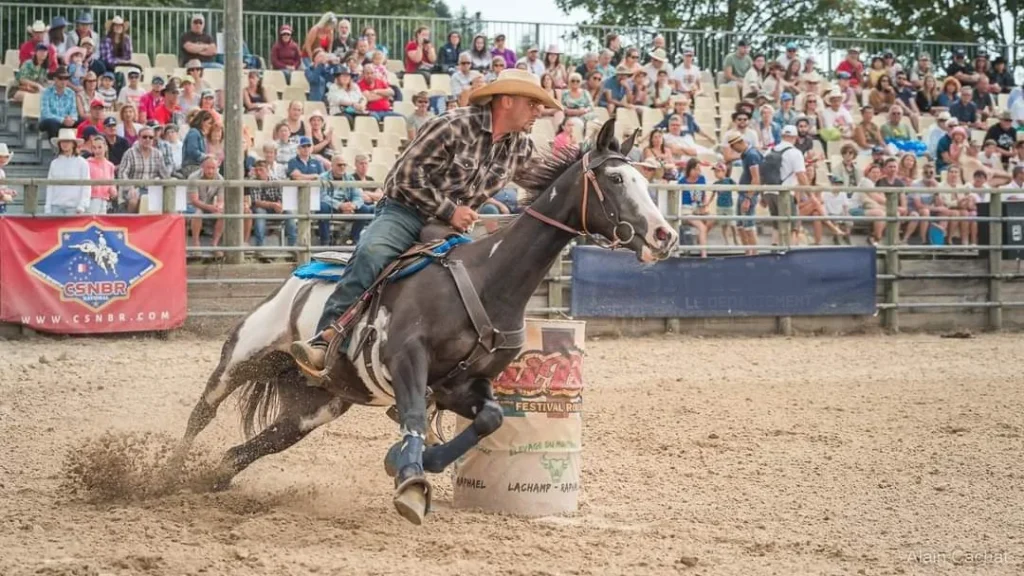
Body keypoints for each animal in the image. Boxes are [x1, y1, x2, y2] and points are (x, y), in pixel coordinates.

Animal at [171, 118, 675, 522]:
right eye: (616, 177)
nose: (664, 235)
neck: (488, 279)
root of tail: (293, 278)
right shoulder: (406, 358)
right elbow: (413, 414)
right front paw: (411, 482)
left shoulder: (461, 386)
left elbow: (490, 419)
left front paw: (416, 463)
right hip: (244, 355)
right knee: (202, 411)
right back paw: (166, 474)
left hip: (313, 408)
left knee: (245, 450)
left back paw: (212, 477)